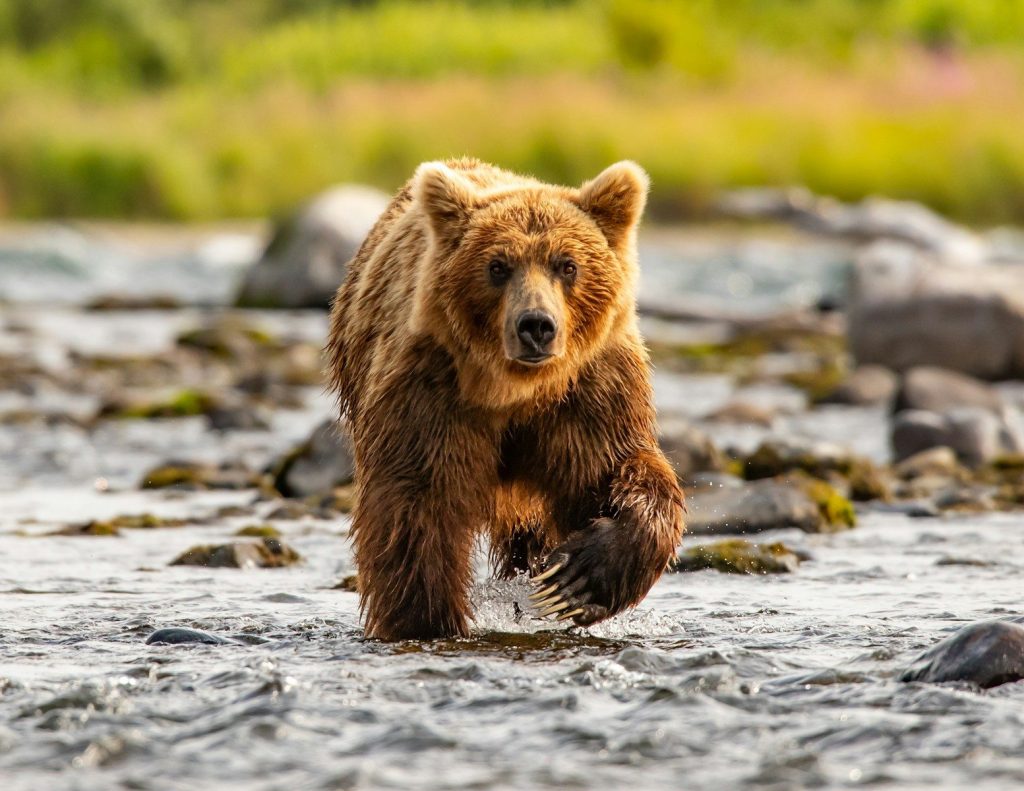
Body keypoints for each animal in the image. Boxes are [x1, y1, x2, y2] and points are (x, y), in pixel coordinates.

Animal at [326, 158, 685, 640]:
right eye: (498, 266)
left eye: (567, 265)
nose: (536, 325)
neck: (515, 391)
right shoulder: (431, 392)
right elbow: (417, 506)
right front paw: (427, 620)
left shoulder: (590, 394)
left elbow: (620, 471)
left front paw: (576, 580)